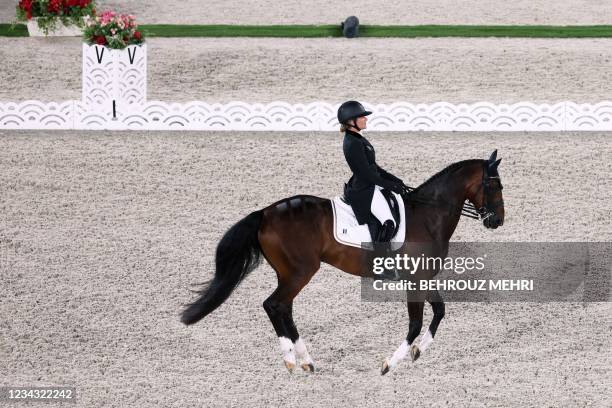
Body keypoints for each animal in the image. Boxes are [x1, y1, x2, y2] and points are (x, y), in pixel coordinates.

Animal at [179, 148, 504, 374]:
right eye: (494, 186)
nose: (497, 221)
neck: (428, 215)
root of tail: (265, 213)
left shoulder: (423, 278)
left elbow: (439, 312)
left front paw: (418, 352)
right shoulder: (414, 280)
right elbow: (415, 323)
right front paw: (389, 364)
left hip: (290, 273)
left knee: (283, 308)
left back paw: (306, 361)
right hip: (300, 272)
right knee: (274, 305)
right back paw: (292, 360)